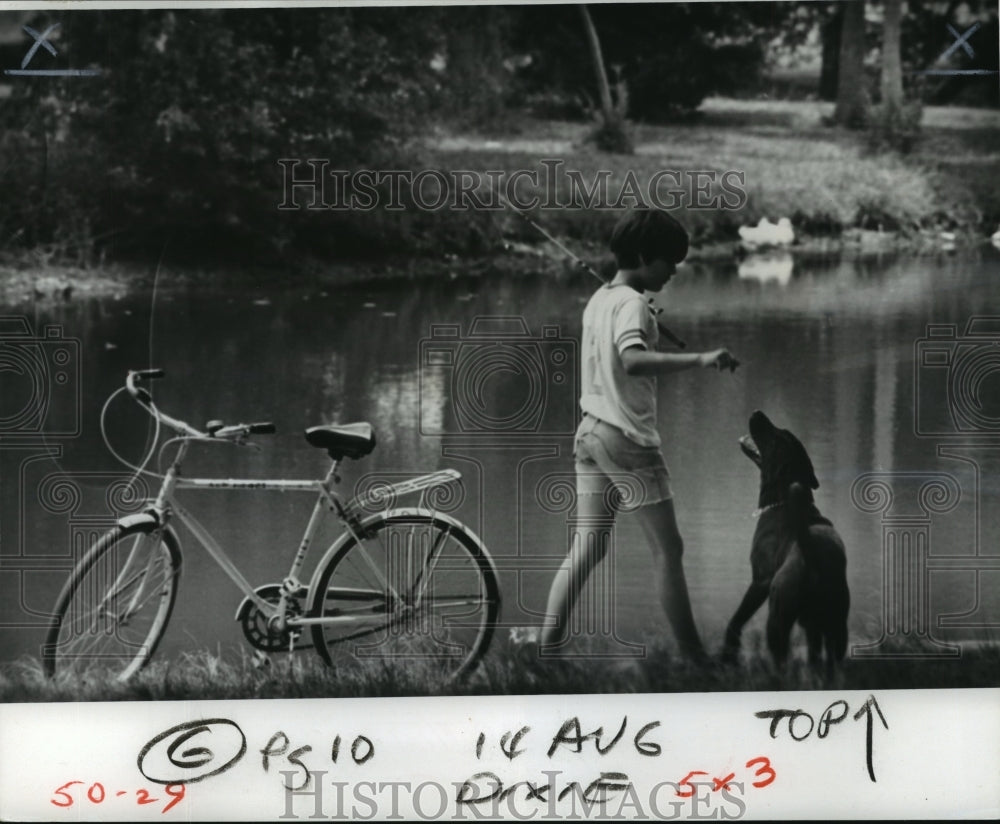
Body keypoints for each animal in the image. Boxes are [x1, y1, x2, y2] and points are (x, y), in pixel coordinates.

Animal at [724, 410, 848, 676]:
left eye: (775, 436)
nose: (758, 413)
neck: (781, 501)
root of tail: (810, 554)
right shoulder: (816, 626)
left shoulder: (759, 581)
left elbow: (736, 621)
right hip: (835, 623)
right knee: (829, 660)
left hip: (778, 616)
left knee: (781, 660)